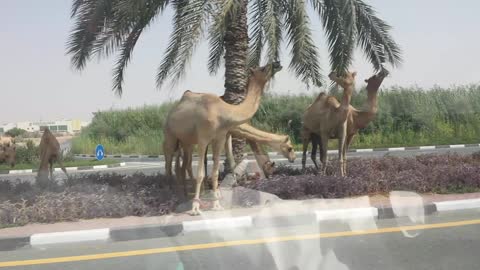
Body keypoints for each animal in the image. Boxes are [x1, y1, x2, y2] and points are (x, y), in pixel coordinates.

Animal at [164, 61, 282, 215]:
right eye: (262, 68)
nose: (277, 63)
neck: (223, 112)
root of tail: (171, 112)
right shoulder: (203, 138)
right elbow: (201, 173)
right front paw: (195, 208)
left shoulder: (219, 138)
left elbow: (214, 173)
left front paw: (216, 205)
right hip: (170, 135)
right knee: (168, 164)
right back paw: (171, 196)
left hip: (186, 142)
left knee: (183, 166)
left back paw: (183, 196)